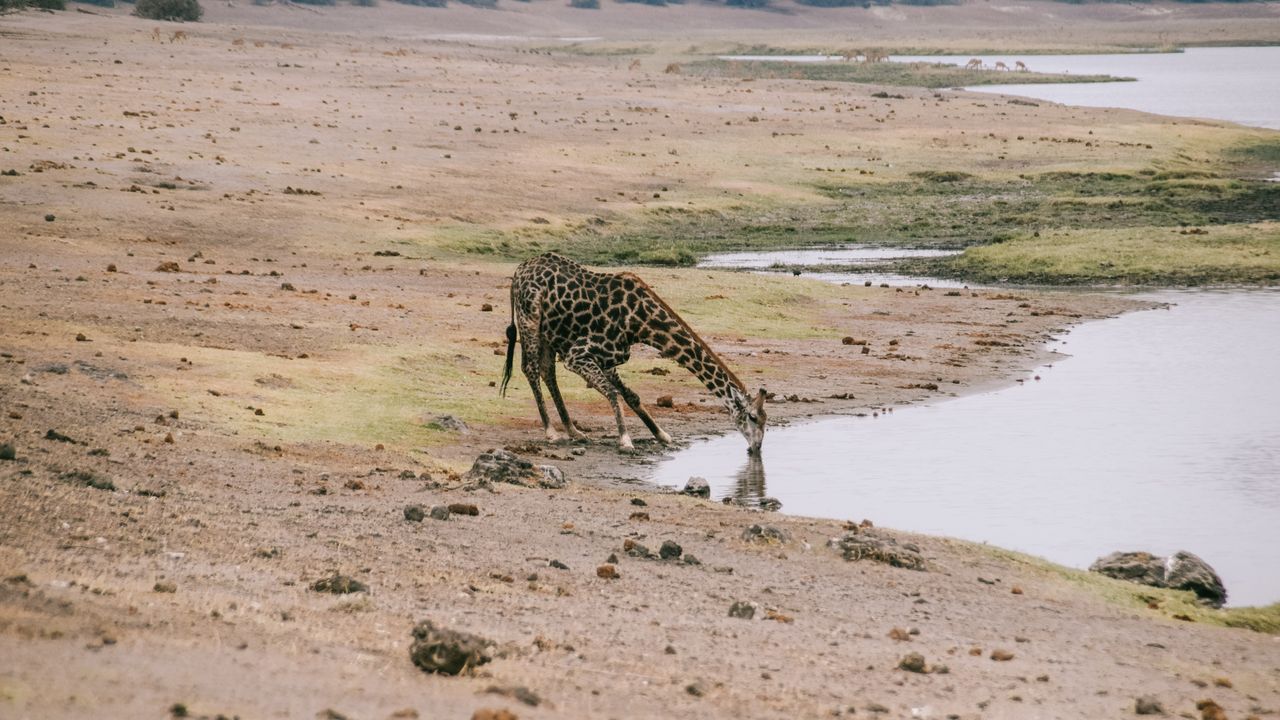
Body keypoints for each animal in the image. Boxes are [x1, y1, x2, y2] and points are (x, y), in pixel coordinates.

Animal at [499, 252, 762, 450]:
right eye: (753, 417)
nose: (757, 448)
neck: (640, 323)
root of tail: (518, 271)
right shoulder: (577, 355)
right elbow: (613, 393)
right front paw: (625, 440)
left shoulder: (608, 358)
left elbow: (630, 395)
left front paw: (662, 435)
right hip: (529, 320)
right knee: (531, 368)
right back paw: (552, 432)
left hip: (549, 333)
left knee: (546, 370)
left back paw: (574, 430)